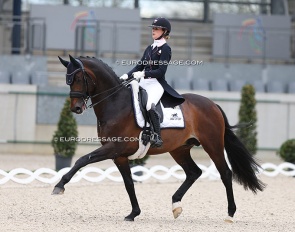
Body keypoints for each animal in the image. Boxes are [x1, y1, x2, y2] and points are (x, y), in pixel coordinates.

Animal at [52, 53, 268, 222]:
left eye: (79, 78)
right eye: (68, 80)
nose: (76, 108)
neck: (115, 104)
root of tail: (212, 104)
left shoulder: (113, 148)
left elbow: (82, 160)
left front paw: (59, 186)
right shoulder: (119, 156)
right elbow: (129, 183)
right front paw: (133, 213)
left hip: (212, 145)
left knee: (225, 173)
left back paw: (230, 213)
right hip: (180, 149)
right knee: (194, 172)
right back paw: (176, 205)